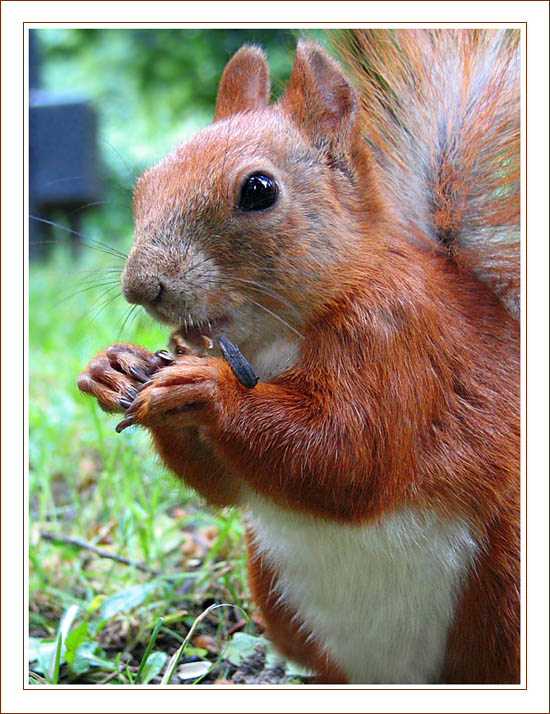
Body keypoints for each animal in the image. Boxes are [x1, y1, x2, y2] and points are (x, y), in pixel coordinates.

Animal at [77, 30, 520, 684]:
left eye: (258, 190)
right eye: (144, 185)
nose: (142, 288)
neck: (271, 341)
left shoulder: (401, 336)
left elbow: (351, 457)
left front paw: (209, 390)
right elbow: (224, 487)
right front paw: (112, 368)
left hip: (503, 585)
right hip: (281, 600)